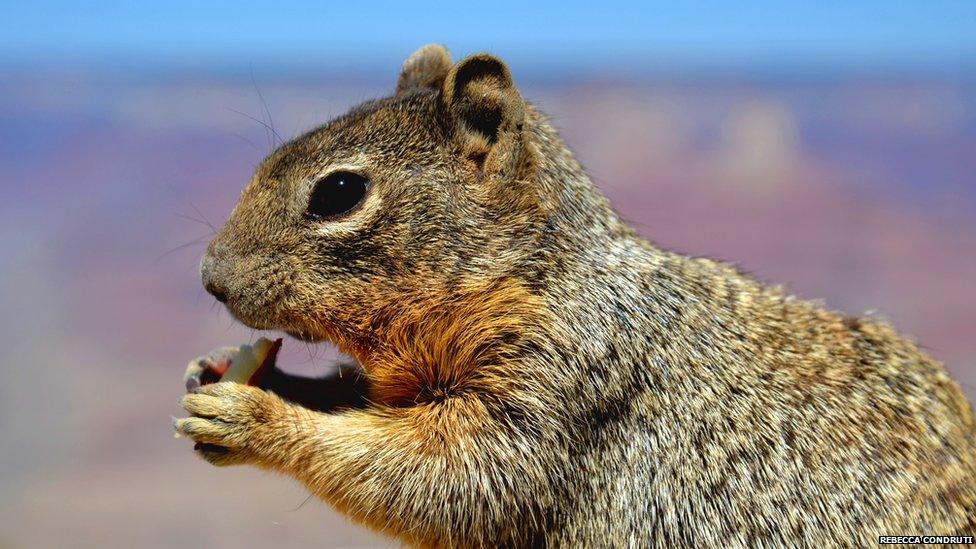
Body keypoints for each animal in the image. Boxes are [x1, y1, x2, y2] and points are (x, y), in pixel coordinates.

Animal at [175, 45, 976, 544]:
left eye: (339, 192)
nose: (212, 277)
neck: (534, 276)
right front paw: (223, 372)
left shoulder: (558, 383)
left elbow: (447, 478)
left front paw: (253, 414)